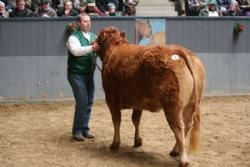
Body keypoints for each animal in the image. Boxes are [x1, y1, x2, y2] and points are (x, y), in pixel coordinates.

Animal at [95, 26, 205, 166]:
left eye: (98, 37)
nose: (93, 43)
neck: (114, 47)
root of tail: (178, 49)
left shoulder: (111, 99)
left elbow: (116, 121)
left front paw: (115, 144)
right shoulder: (138, 101)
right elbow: (136, 120)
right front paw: (137, 141)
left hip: (172, 105)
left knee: (179, 127)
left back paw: (183, 159)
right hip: (191, 104)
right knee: (187, 125)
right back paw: (175, 151)